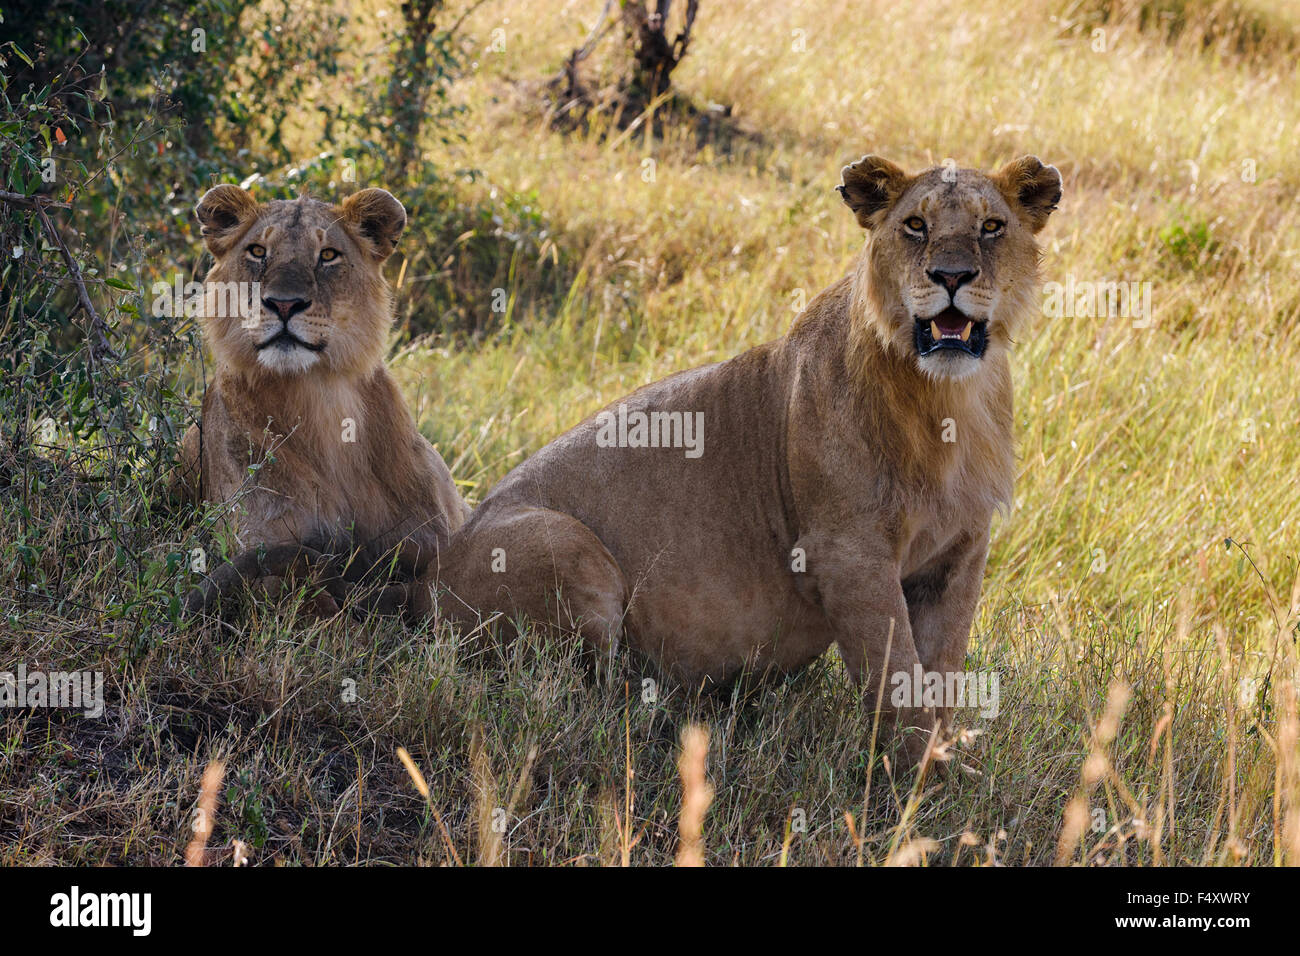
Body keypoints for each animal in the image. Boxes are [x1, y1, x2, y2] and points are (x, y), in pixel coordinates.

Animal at [178, 184, 470, 616]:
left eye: (328, 255)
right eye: (257, 252)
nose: (284, 304)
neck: (318, 396)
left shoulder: (436, 536)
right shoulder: (261, 545)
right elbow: (291, 586)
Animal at [426, 153, 1055, 764]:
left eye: (991, 227)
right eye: (915, 225)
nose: (950, 276)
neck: (944, 401)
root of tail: (425, 582)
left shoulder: (961, 551)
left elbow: (941, 668)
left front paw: (940, 760)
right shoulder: (848, 554)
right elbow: (896, 674)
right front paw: (916, 774)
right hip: (567, 547)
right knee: (582, 690)